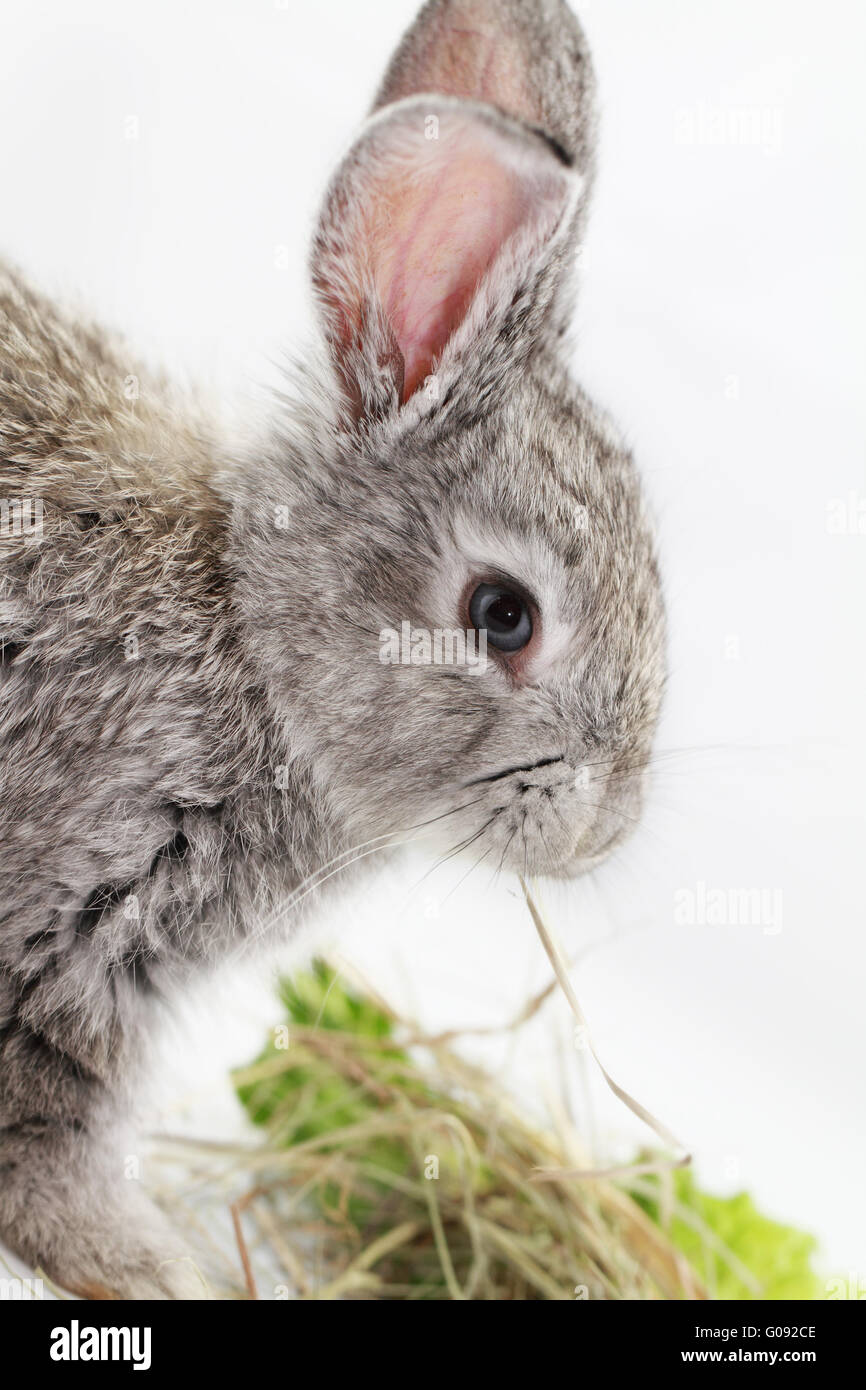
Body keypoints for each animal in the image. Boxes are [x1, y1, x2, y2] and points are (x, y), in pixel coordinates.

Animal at [0, 0, 667, 1295]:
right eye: (502, 614)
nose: (604, 830)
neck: (247, 642)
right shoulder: (59, 926)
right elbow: (44, 1139)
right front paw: (142, 1266)